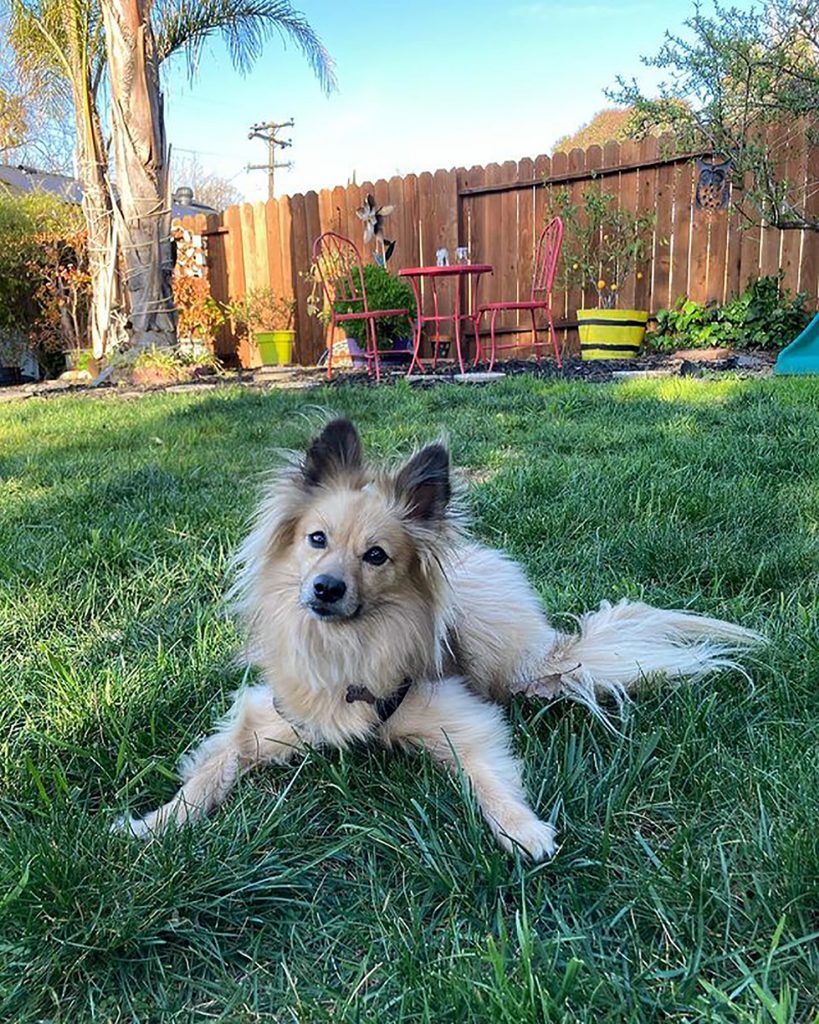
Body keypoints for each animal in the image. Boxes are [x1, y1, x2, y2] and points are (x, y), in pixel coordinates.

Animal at [119, 415, 761, 856]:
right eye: (316, 540)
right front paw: (156, 823)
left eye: (376, 556)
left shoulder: (462, 718)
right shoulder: (262, 717)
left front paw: (522, 829)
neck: (350, 646)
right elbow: (210, 770)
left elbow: (490, 779)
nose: (325, 588)